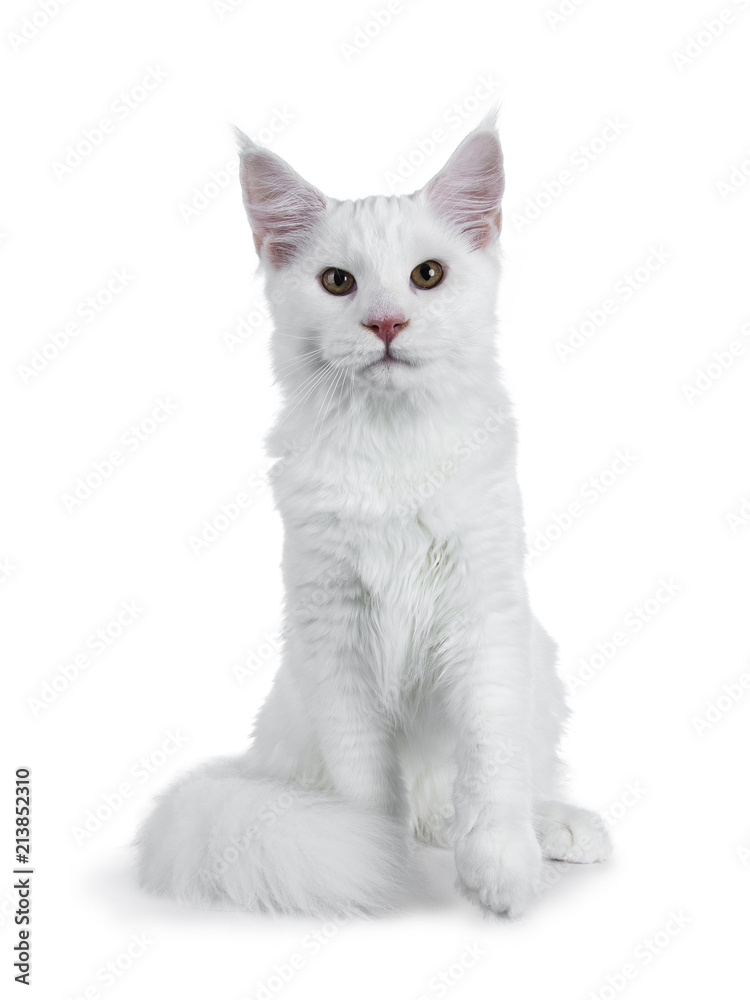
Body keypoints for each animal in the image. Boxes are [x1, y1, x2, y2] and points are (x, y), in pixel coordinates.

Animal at [138, 113, 612, 916]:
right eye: (339, 283)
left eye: (428, 276)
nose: (386, 323)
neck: (392, 444)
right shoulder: (338, 633)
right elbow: (367, 785)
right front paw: (374, 865)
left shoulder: (481, 618)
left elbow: (490, 766)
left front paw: (501, 870)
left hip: (534, 663)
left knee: (483, 791)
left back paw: (555, 828)